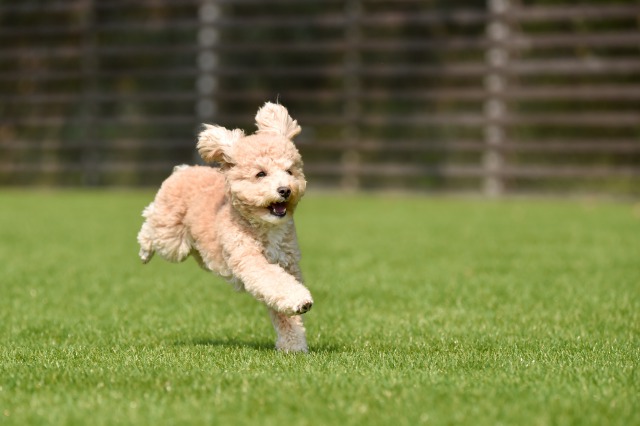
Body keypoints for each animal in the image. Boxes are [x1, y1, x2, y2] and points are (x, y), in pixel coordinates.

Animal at [137, 103, 312, 352]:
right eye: (261, 174)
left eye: (290, 171)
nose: (285, 190)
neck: (264, 226)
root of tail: (184, 169)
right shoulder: (249, 259)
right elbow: (275, 282)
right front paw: (299, 300)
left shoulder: (288, 264)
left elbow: (285, 315)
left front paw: (293, 345)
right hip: (172, 239)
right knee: (151, 223)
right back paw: (144, 250)